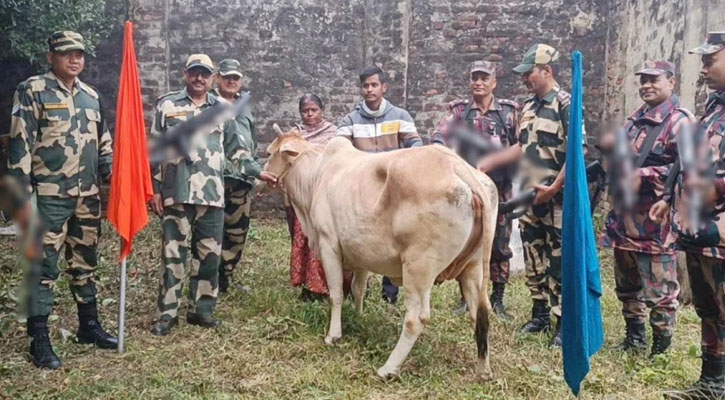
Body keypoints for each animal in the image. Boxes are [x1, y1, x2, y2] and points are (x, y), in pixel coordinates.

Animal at [264, 126, 498, 380]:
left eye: (270, 152)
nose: (263, 175)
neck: (316, 176)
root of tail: (456, 165)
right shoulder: (361, 255)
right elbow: (358, 289)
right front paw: (359, 316)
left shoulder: (328, 245)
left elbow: (336, 294)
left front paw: (333, 335)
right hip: (473, 268)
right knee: (479, 314)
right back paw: (483, 369)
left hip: (419, 268)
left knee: (416, 319)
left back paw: (388, 368)